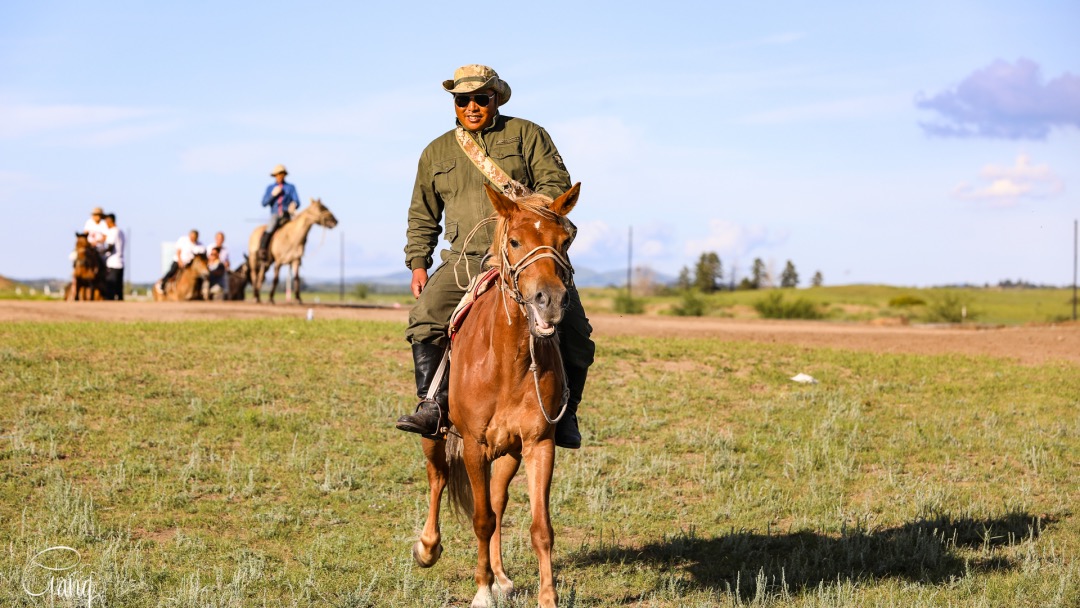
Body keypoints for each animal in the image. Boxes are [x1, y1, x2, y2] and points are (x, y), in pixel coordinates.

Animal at [412, 182, 583, 608]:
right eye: (516, 241)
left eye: (565, 240)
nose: (549, 300)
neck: (509, 362)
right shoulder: (474, 445)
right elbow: (480, 518)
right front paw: (482, 591)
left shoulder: (539, 444)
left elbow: (539, 528)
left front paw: (546, 597)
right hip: (434, 435)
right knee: (438, 478)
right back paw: (428, 548)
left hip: (508, 453)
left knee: (497, 499)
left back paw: (502, 577)